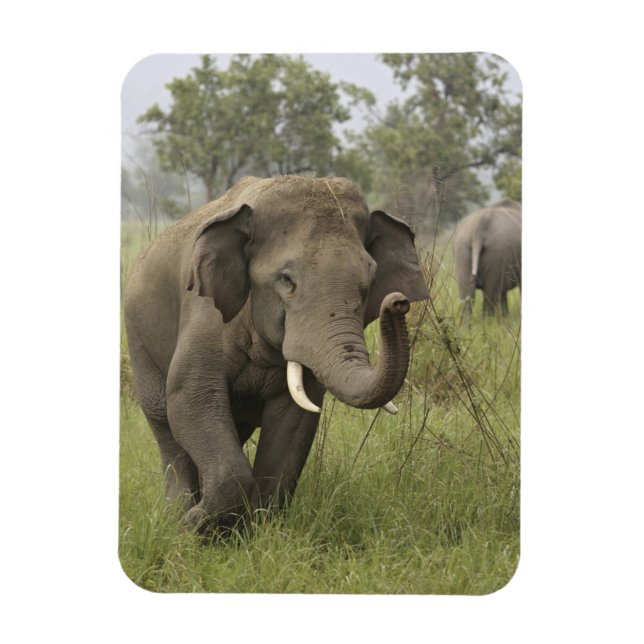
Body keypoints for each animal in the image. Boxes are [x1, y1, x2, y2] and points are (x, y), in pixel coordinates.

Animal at [123, 175, 429, 532]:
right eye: (286, 280)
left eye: (368, 283)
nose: (398, 302)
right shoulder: (205, 314)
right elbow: (191, 396)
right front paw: (194, 526)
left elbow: (294, 421)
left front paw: (256, 531)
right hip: (139, 341)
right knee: (167, 427)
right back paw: (177, 517)